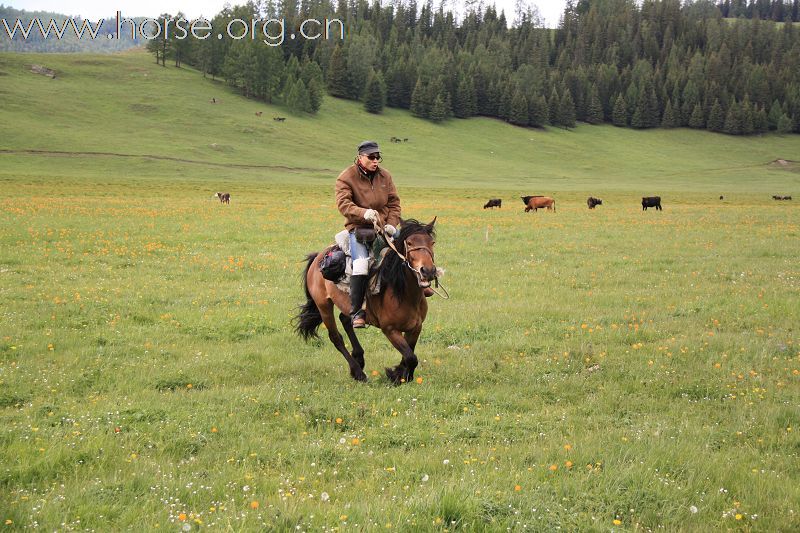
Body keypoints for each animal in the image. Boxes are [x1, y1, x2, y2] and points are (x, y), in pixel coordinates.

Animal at [296, 218, 440, 384]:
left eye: (431, 242)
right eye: (409, 243)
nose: (428, 271)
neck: (403, 293)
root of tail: (318, 258)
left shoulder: (415, 328)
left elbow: (409, 355)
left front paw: (402, 375)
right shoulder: (390, 330)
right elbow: (411, 357)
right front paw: (395, 375)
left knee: (346, 319)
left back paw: (359, 357)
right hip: (323, 305)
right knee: (336, 337)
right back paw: (358, 372)